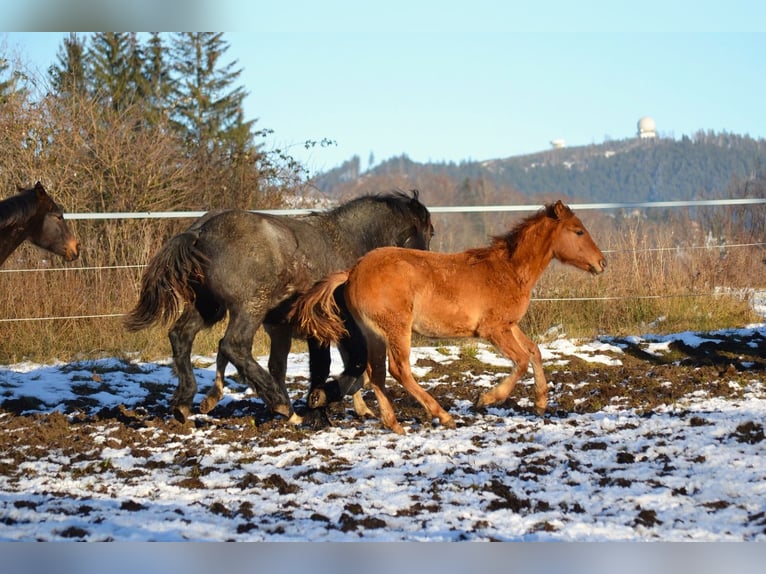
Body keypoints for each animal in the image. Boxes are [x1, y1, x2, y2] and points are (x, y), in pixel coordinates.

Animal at [124, 191, 436, 426]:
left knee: (181, 336)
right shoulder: (335, 327)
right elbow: (349, 367)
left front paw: (325, 406)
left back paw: (184, 402)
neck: (350, 242)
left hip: (208, 307)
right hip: (249, 307)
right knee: (233, 345)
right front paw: (320, 403)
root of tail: (199, 232)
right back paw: (280, 404)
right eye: (428, 232)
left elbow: (334, 366)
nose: (426, 267)